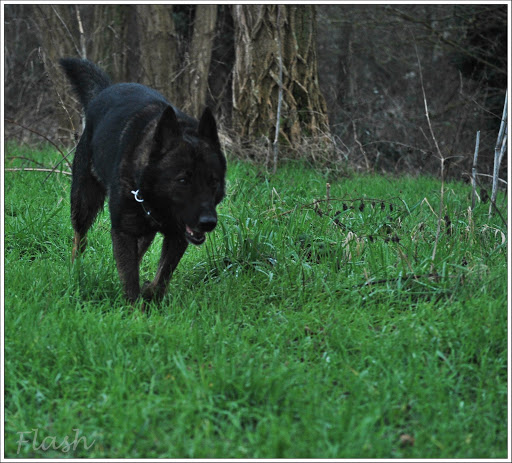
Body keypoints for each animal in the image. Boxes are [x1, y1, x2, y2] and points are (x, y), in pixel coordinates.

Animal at [60, 59, 226, 304]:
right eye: (182, 180)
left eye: (213, 181)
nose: (208, 222)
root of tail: (105, 90)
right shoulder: (124, 231)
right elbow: (130, 282)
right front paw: (134, 309)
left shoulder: (177, 237)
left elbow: (161, 277)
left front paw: (149, 293)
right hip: (83, 203)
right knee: (79, 239)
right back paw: (75, 272)